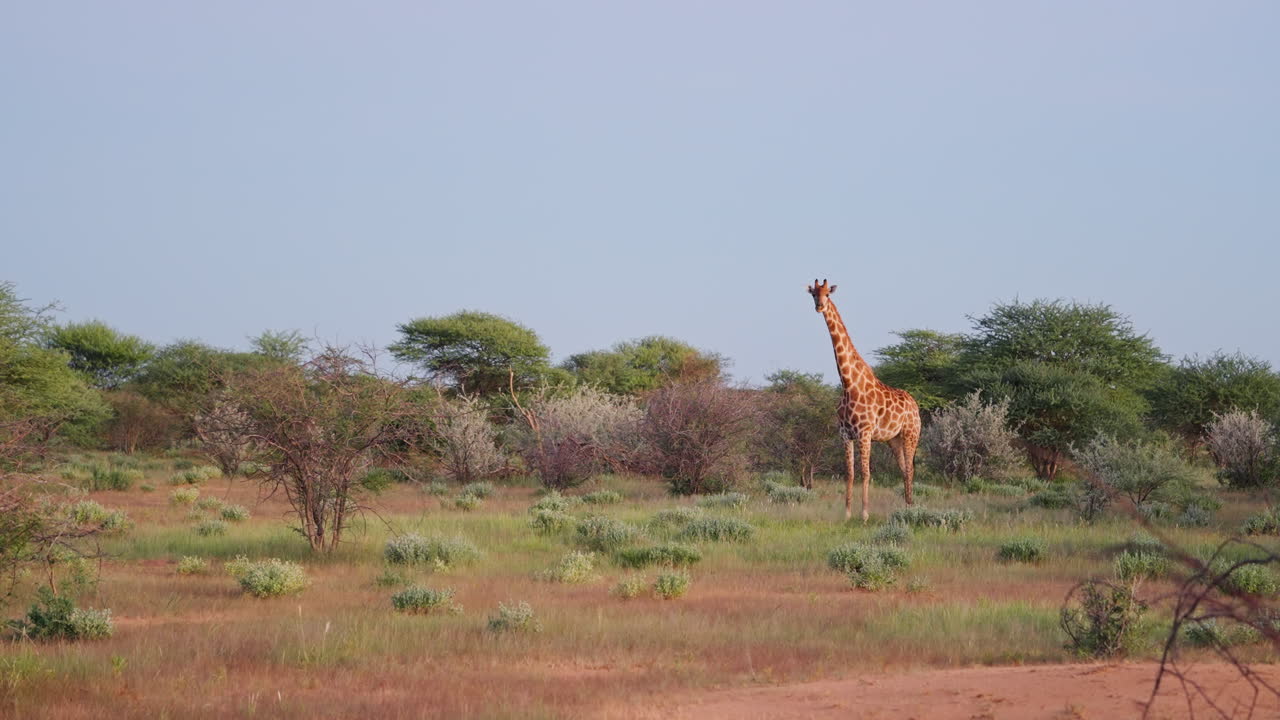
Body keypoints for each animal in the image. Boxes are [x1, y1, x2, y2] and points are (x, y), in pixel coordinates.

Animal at [807, 279, 921, 522]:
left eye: (828, 294)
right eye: (813, 294)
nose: (819, 306)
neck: (848, 384)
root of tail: (915, 405)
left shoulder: (865, 433)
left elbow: (866, 473)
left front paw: (865, 514)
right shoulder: (845, 434)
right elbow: (849, 474)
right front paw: (847, 514)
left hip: (911, 434)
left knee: (911, 469)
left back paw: (911, 509)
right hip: (893, 439)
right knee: (904, 469)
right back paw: (906, 508)